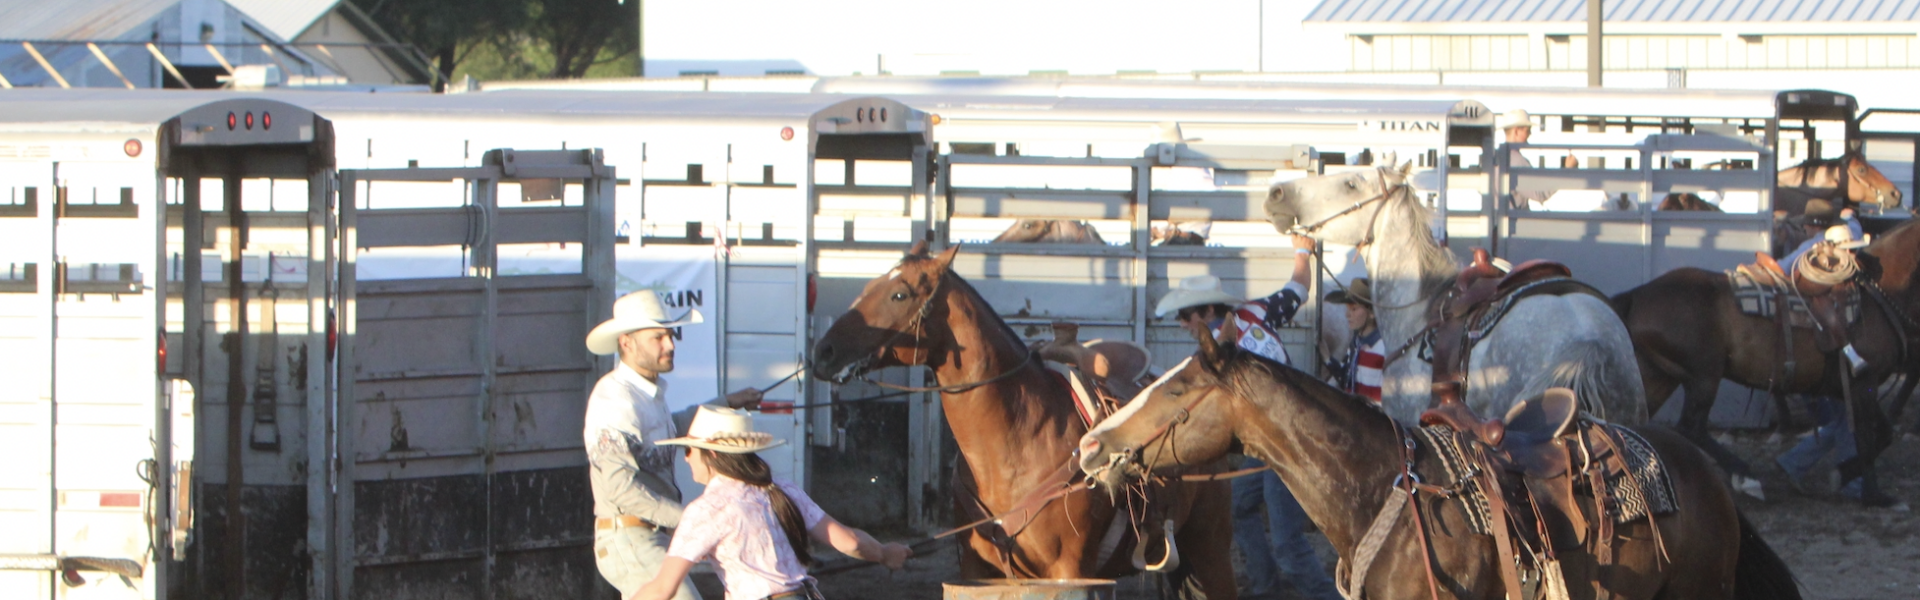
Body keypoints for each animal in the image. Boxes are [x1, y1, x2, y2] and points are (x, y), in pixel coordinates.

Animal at [809, 242, 1236, 597]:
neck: (1016, 443)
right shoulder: (977, 569)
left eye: (899, 293)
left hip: (1210, 546)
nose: (823, 352)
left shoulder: (1071, 569)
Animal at [1610, 219, 1920, 500]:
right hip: (1703, 376)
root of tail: (1638, 294)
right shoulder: (1864, 383)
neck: (1876, 296)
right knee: (1691, 427)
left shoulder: (1856, 389)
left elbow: (1883, 433)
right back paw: (1746, 476)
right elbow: (1870, 438)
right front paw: (1871, 493)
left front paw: (1847, 477)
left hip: (1660, 375)